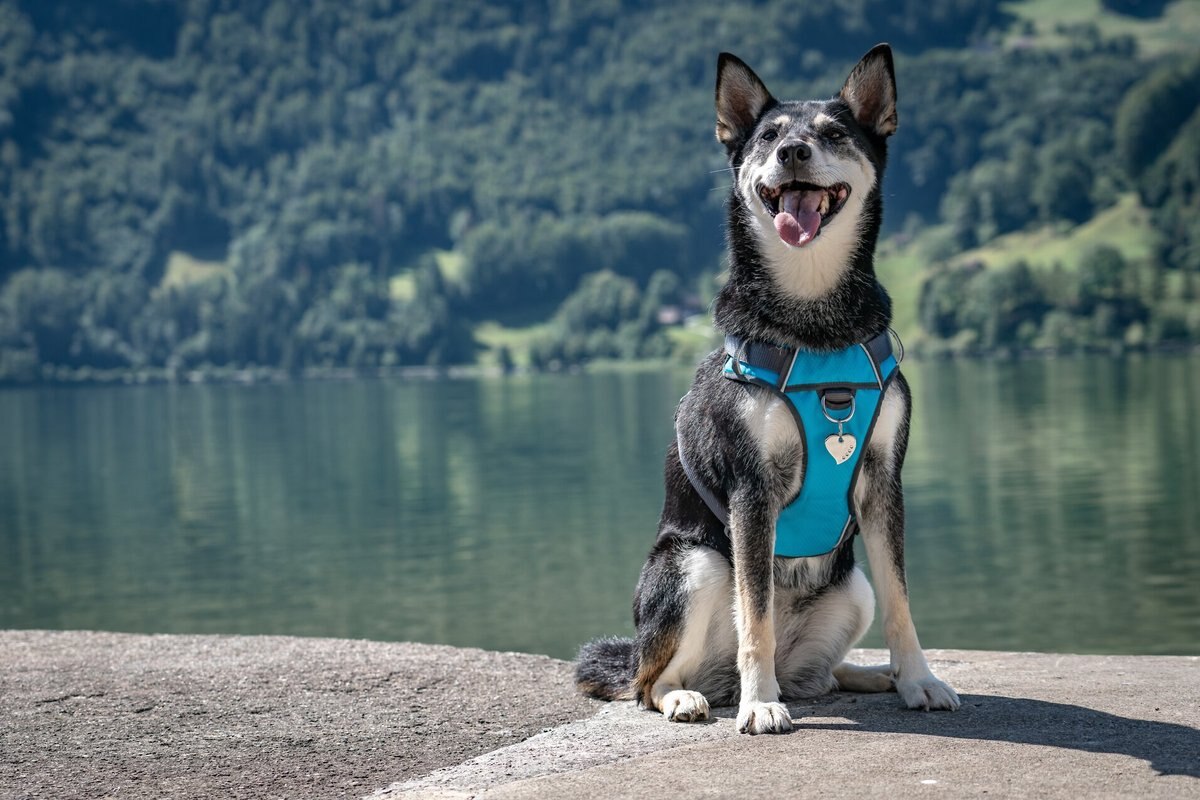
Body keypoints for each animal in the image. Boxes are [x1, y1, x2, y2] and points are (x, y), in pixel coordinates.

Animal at [576, 42, 960, 734]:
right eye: (768, 136)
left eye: (833, 133)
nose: (794, 154)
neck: (815, 326)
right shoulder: (751, 491)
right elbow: (754, 617)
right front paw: (760, 706)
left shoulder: (884, 480)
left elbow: (903, 604)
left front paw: (918, 679)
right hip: (693, 565)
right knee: (650, 681)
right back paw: (695, 696)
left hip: (851, 586)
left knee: (819, 675)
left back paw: (870, 675)